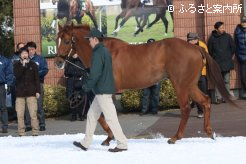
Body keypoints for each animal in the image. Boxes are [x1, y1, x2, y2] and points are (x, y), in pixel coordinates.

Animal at [55, 24, 234, 144]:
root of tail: (196, 48)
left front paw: (111, 137)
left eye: (66, 41)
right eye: (56, 39)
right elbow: (100, 115)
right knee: (205, 100)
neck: (102, 52)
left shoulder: (107, 91)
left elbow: (103, 114)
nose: (58, 62)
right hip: (190, 85)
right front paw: (109, 137)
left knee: (185, 108)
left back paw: (175, 137)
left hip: (181, 85)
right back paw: (210, 132)